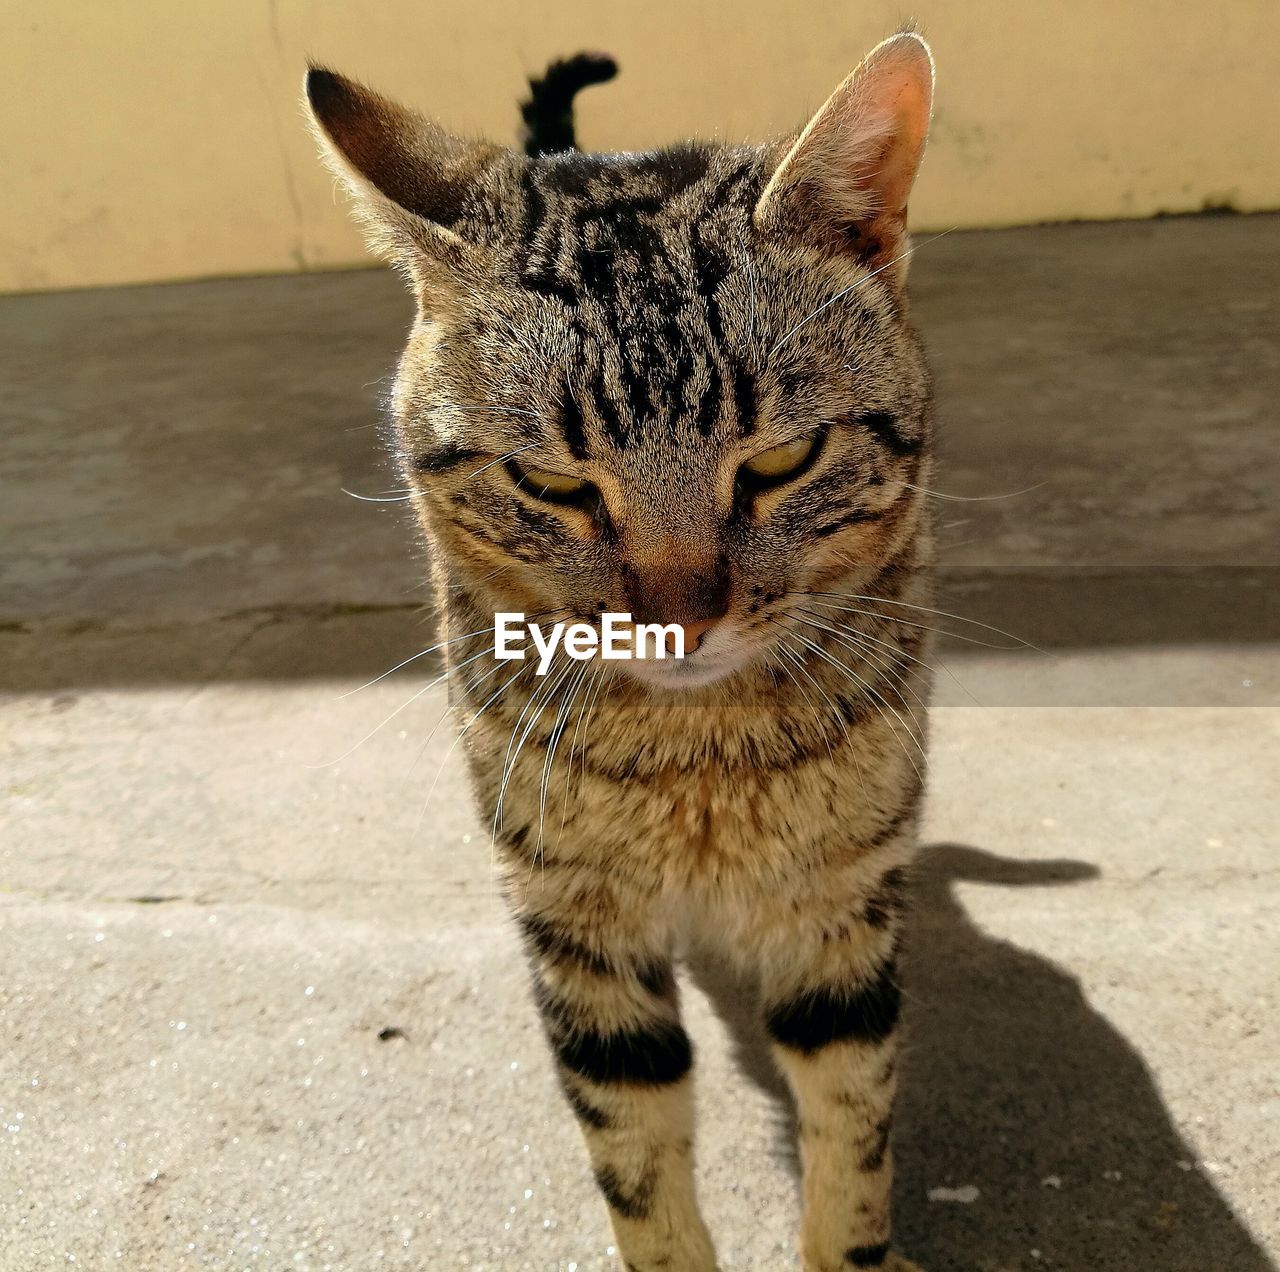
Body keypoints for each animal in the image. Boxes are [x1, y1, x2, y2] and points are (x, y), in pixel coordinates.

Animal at [305, 32, 936, 1269]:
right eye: (549, 483)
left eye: (780, 460)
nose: (677, 619)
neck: (700, 754)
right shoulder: (571, 913)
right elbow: (634, 1157)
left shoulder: (840, 900)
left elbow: (853, 1135)